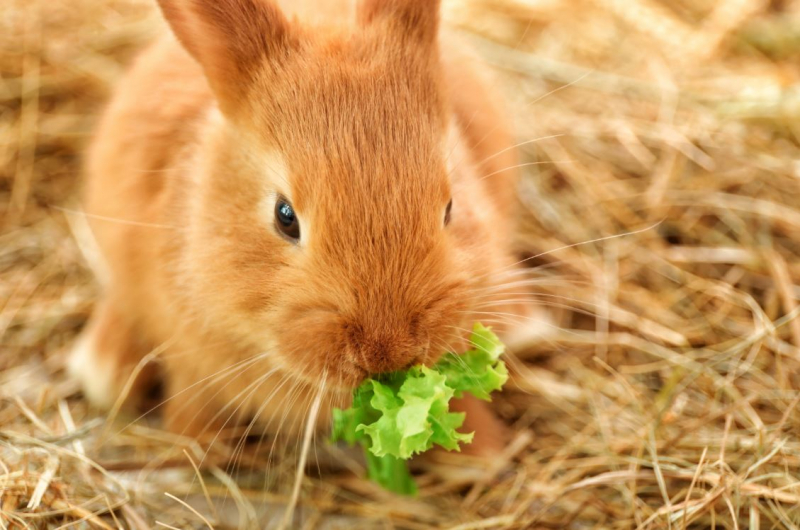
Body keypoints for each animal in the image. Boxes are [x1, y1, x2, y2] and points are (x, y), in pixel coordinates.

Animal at [69, 0, 552, 454]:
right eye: (285, 216)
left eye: (450, 207)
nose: (386, 352)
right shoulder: (190, 357)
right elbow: (192, 403)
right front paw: (200, 444)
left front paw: (482, 452)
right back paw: (104, 369)